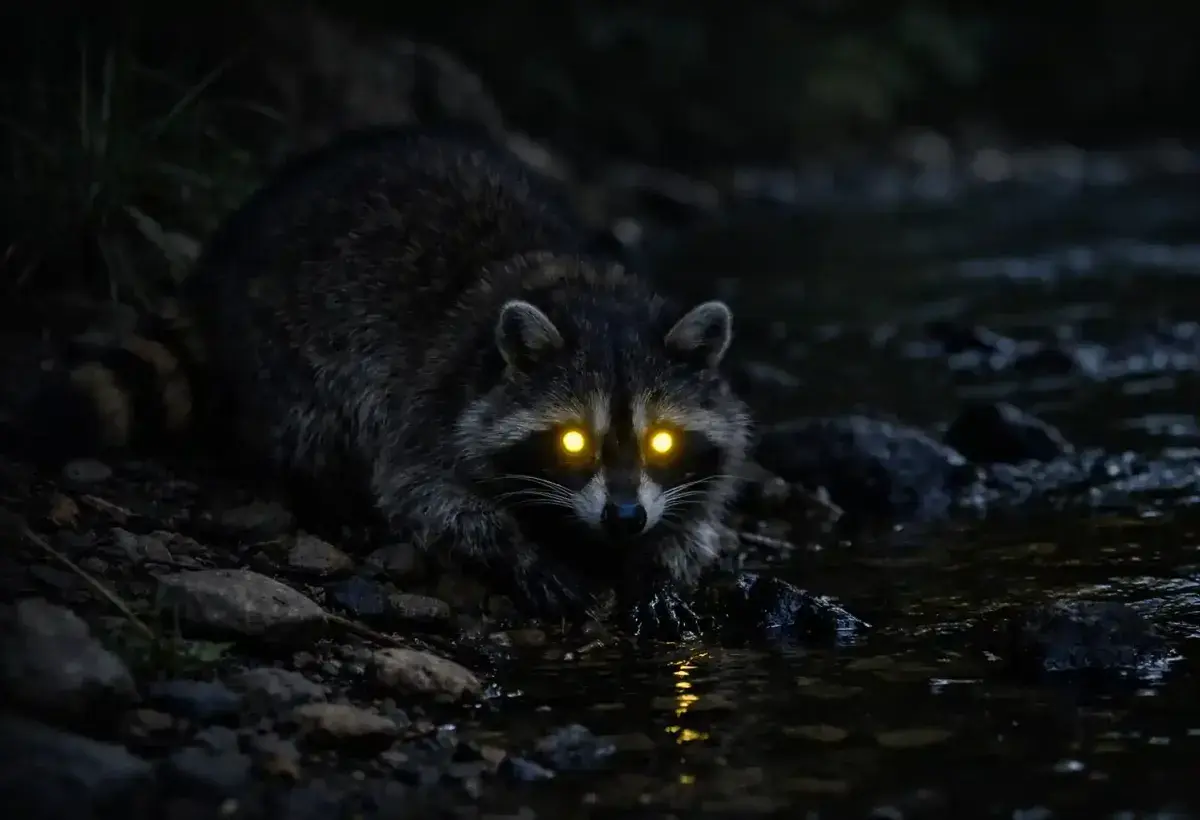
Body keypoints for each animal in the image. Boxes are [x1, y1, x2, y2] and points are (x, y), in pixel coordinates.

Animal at [27, 126, 754, 636]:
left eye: (661, 443)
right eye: (574, 442)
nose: (626, 519)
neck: (593, 300)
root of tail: (217, 268)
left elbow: (699, 518)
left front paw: (660, 564)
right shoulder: (432, 400)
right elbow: (423, 491)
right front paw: (515, 549)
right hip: (291, 344)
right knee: (313, 424)